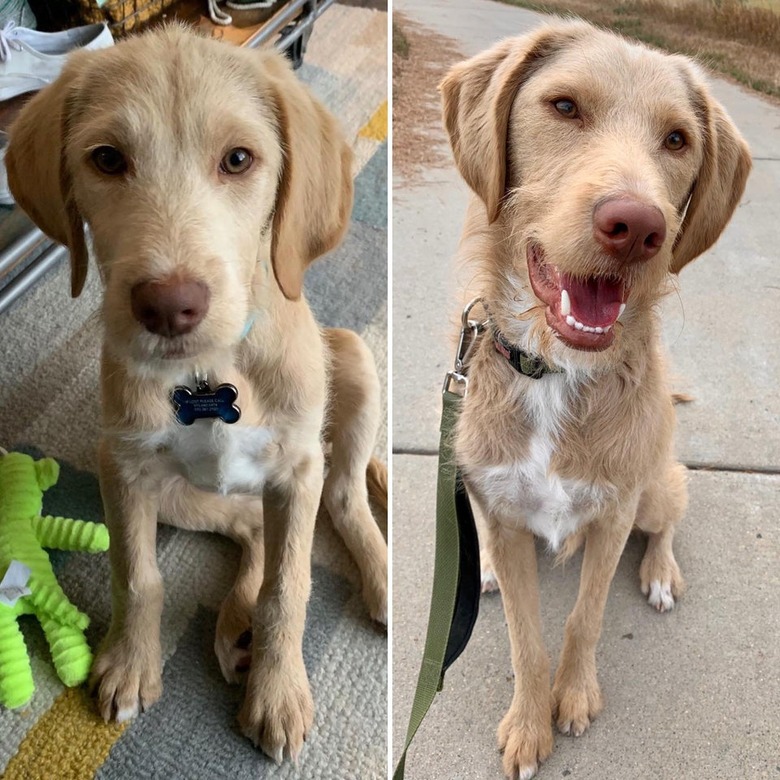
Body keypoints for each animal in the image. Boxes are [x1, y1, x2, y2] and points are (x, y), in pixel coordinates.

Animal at [9, 22, 386, 760]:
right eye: (106, 159)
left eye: (238, 159)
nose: (168, 306)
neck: (209, 374)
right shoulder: (123, 466)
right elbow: (137, 574)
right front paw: (131, 664)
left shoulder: (296, 470)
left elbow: (291, 586)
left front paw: (278, 691)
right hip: (183, 497)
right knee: (248, 528)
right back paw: (235, 624)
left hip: (352, 363)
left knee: (345, 497)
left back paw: (379, 582)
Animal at [438, 19, 748, 780]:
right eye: (564, 107)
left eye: (677, 140)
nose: (638, 227)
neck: (557, 373)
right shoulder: (503, 512)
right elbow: (526, 638)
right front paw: (529, 724)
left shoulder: (613, 515)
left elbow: (585, 618)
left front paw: (573, 696)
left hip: (660, 485)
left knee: (667, 523)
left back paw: (661, 573)